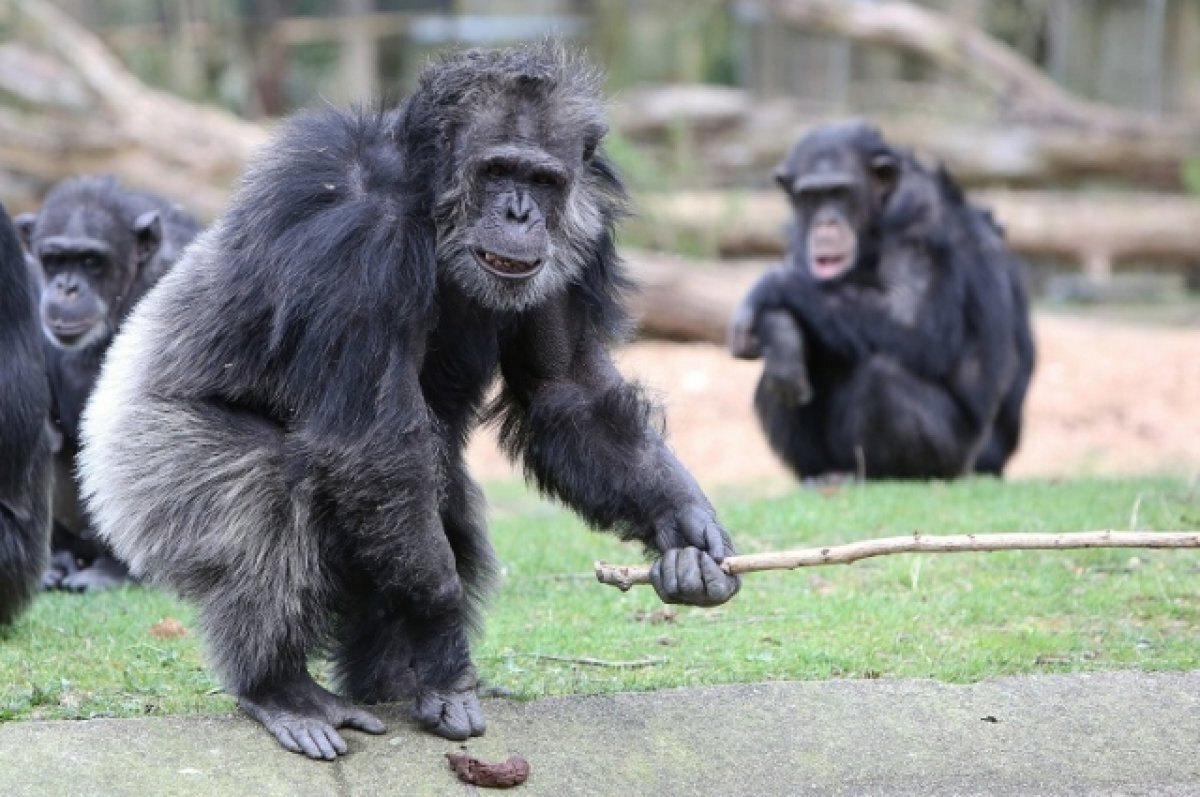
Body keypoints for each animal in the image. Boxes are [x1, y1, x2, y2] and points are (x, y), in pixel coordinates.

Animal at [82, 46, 739, 763]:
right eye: (497, 170)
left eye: (542, 180)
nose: (519, 213)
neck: (429, 203)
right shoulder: (359, 238)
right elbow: (373, 442)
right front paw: (447, 651)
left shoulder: (581, 239)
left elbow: (567, 388)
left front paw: (686, 527)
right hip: (144, 458)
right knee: (263, 485)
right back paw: (283, 689)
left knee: (430, 511)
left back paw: (392, 680)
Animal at [724, 118, 1036, 480]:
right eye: (811, 197)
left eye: (841, 193)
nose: (826, 222)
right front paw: (779, 328)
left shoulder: (918, 209)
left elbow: (908, 314)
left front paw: (768, 286)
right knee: (782, 372)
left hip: (959, 460)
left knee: (881, 376)